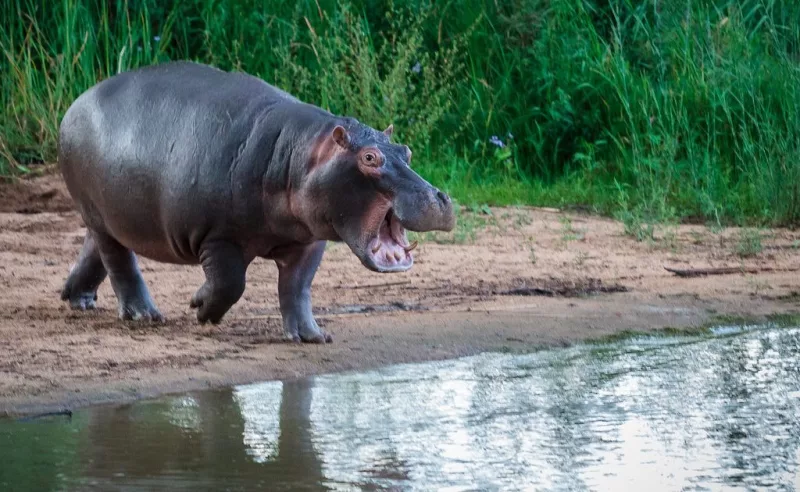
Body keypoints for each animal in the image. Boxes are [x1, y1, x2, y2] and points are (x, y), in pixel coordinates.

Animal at [57, 61, 455, 343]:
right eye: (370, 157)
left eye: (406, 150)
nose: (438, 198)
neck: (301, 156)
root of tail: (76, 103)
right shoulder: (218, 237)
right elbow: (231, 284)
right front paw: (200, 308)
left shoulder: (310, 241)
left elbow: (297, 287)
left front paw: (312, 336)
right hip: (98, 213)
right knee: (120, 262)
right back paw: (144, 315)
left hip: (109, 217)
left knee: (96, 250)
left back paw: (77, 299)